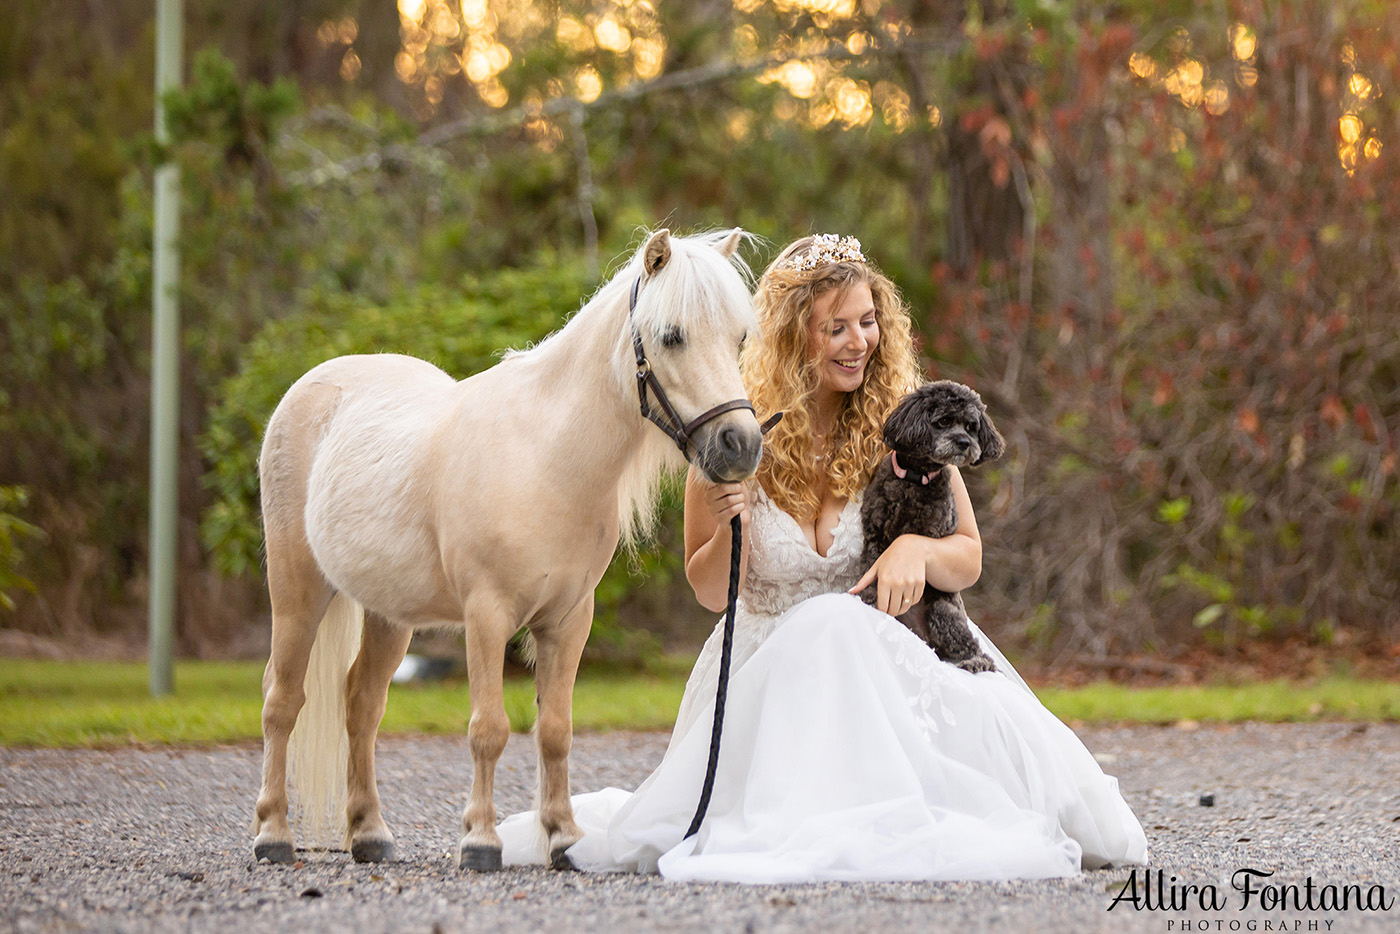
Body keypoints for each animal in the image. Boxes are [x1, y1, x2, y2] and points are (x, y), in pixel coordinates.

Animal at [246, 229, 761, 873]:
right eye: (672, 335)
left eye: (740, 337)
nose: (741, 445)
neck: (546, 458)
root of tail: (310, 387)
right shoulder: (487, 615)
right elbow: (488, 729)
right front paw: (480, 842)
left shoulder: (568, 620)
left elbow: (555, 730)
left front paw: (564, 839)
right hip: (297, 593)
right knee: (282, 701)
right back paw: (273, 834)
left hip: (390, 616)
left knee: (361, 704)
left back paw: (369, 834)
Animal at [856, 380, 1002, 672]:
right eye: (944, 421)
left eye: (971, 425)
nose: (964, 442)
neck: (915, 477)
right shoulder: (874, 533)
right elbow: (871, 567)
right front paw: (869, 596)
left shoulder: (930, 535)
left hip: (944, 612)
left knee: (973, 648)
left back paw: (975, 661)